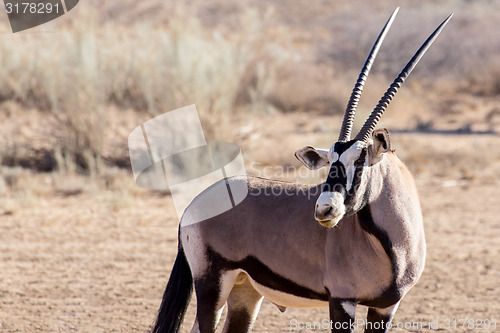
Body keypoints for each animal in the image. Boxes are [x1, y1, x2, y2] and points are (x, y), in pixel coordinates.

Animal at [152, 7, 454, 332]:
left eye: (360, 160)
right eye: (330, 161)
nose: (324, 209)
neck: (392, 245)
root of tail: (193, 205)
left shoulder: (386, 307)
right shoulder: (342, 301)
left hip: (244, 291)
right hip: (212, 283)